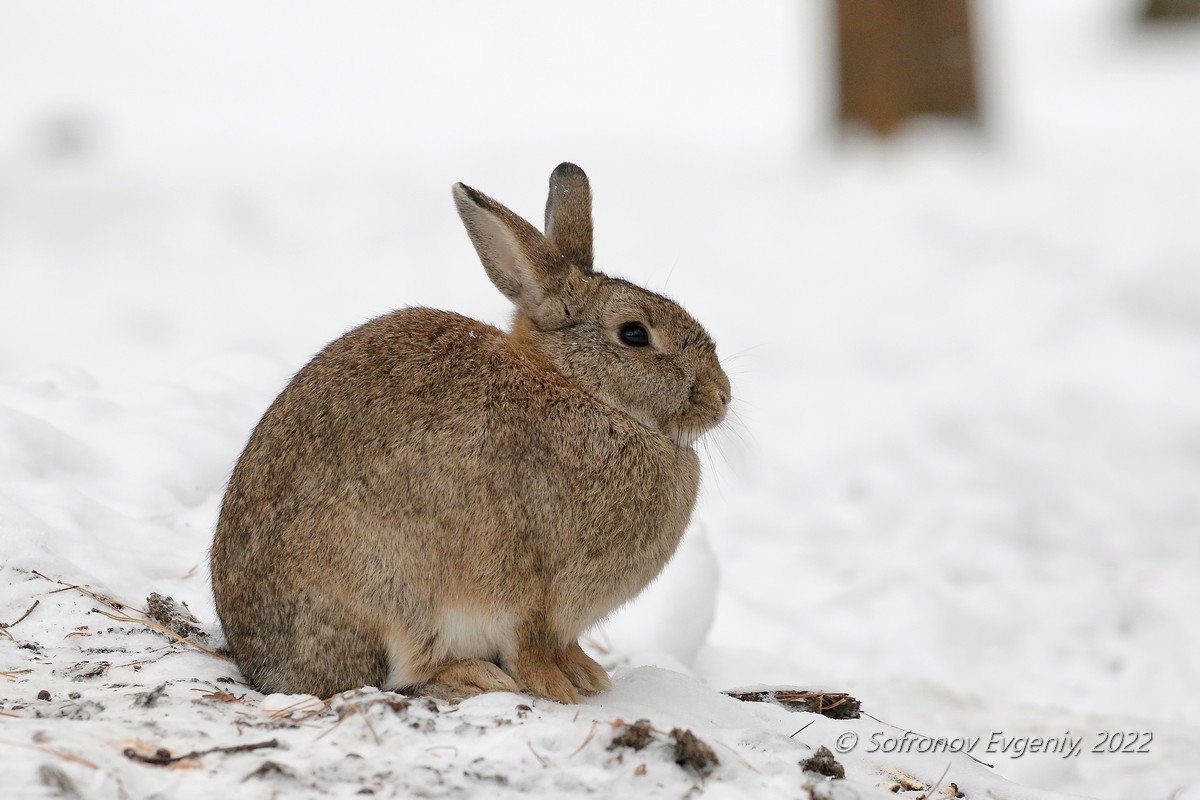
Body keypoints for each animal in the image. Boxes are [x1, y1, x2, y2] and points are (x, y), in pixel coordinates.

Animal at [210, 160, 724, 700]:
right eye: (634, 334)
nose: (722, 397)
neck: (579, 388)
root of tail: (265, 667)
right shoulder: (530, 592)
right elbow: (530, 645)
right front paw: (557, 688)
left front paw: (588, 674)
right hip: (393, 590)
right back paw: (474, 675)